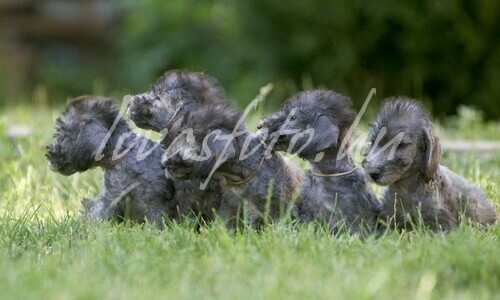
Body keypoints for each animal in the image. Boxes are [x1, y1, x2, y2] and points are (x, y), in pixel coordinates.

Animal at [362, 97, 498, 231]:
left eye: (400, 145)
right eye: (373, 142)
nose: (372, 173)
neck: (406, 187)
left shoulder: (441, 222)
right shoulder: (388, 219)